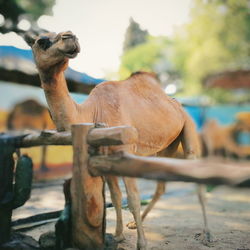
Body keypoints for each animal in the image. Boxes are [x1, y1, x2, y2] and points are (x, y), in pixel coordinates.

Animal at [23, 30, 211, 249]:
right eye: (41, 41)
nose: (69, 36)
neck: (91, 112)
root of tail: (179, 106)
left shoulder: (126, 152)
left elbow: (133, 198)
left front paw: (141, 243)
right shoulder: (106, 157)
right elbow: (115, 197)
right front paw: (119, 235)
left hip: (189, 130)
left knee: (196, 177)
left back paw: (207, 234)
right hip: (165, 147)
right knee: (161, 184)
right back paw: (134, 224)